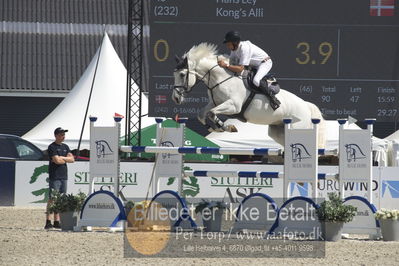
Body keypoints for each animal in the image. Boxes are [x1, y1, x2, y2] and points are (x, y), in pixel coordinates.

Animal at [173, 43, 326, 148]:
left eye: (182, 74)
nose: (175, 98)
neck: (219, 78)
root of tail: (306, 106)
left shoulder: (233, 106)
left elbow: (211, 113)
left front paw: (225, 127)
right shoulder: (215, 103)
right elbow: (202, 114)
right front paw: (216, 127)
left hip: (298, 127)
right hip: (276, 130)